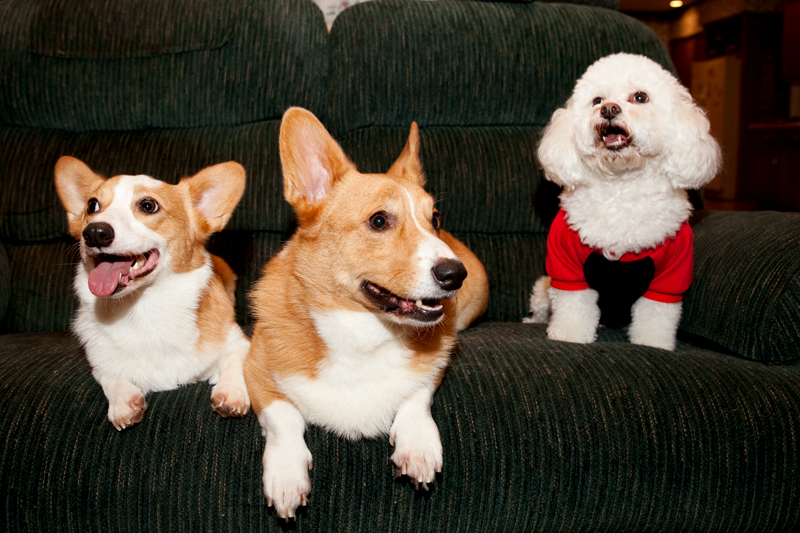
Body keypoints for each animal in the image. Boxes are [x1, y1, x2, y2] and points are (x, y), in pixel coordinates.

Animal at [54, 156, 250, 430]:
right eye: (92, 206)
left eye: (148, 205)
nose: (94, 232)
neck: (143, 307)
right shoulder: (98, 362)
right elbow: (108, 374)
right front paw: (123, 400)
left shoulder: (237, 341)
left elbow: (234, 361)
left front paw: (231, 392)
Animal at [244, 108, 488, 520]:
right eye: (378, 221)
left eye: (435, 219)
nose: (455, 274)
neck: (365, 334)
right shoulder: (256, 368)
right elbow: (283, 415)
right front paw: (286, 474)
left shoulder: (432, 369)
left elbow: (417, 395)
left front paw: (418, 444)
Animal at [524, 51, 724, 350]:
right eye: (597, 100)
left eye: (640, 97)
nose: (608, 109)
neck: (622, 185)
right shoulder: (567, 268)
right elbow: (573, 308)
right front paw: (568, 335)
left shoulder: (670, 278)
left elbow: (656, 316)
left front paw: (653, 343)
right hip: (542, 288)